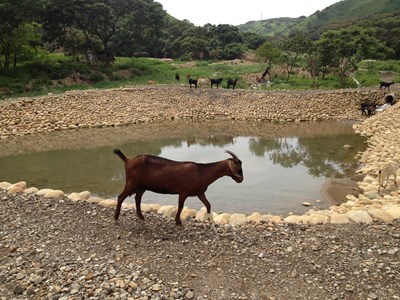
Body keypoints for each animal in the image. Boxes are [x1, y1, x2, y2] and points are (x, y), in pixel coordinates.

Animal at [113, 149, 244, 226]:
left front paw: (208, 219)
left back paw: (141, 217)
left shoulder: (200, 193)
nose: (241, 179)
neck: (202, 172)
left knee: (137, 198)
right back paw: (116, 217)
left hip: (141, 186)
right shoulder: (183, 192)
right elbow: (180, 207)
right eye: (237, 167)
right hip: (132, 182)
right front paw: (178, 222)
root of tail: (128, 161)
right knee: (121, 197)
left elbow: (208, 204)